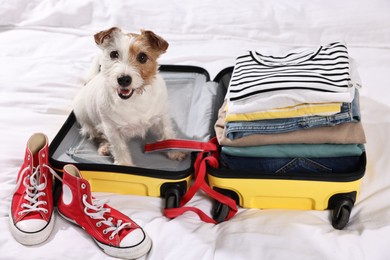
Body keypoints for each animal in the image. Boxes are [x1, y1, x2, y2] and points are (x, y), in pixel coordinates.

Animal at [73, 27, 187, 166]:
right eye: (113, 54)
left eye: (142, 57)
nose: (123, 79)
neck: (135, 99)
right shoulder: (111, 129)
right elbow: (119, 147)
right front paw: (124, 164)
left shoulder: (162, 118)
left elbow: (168, 135)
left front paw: (175, 152)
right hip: (89, 124)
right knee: (98, 135)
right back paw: (105, 147)